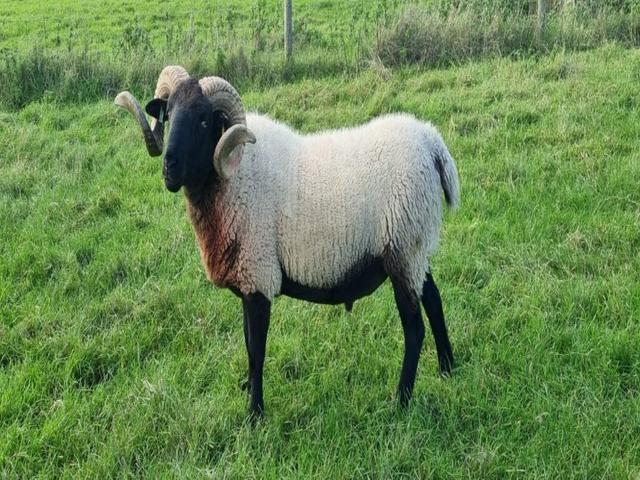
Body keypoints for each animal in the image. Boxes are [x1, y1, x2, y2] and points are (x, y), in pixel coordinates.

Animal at [115, 65, 460, 417]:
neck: (233, 176)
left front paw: (254, 413)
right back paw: (448, 367)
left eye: (203, 120)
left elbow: (257, 348)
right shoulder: (247, 276)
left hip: (402, 250)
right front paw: (248, 390)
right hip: (415, 246)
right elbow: (247, 342)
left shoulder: (259, 274)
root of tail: (431, 142)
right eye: (169, 113)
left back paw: (402, 400)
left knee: (414, 328)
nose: (169, 168)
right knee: (434, 299)